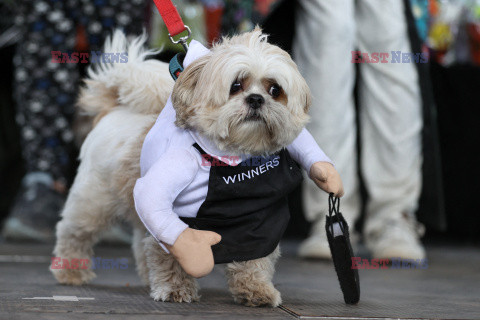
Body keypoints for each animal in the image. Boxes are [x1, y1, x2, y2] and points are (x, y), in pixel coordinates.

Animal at [51, 28, 342, 306]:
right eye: (236, 85)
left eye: (274, 90)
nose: (256, 99)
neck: (235, 159)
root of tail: (113, 110)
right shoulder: (176, 201)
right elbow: (172, 250)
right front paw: (175, 289)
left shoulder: (261, 221)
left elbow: (254, 259)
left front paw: (256, 290)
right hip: (94, 201)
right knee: (74, 232)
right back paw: (71, 270)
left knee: (142, 240)